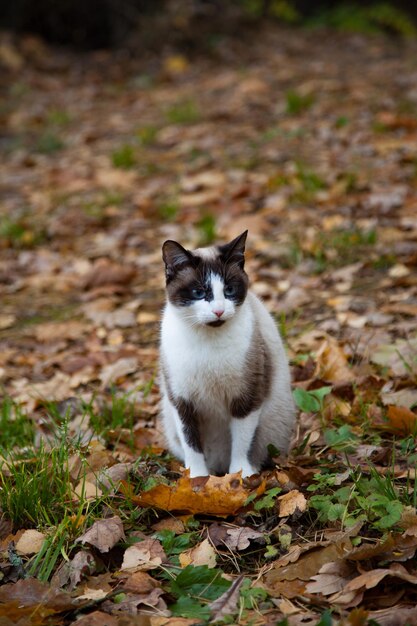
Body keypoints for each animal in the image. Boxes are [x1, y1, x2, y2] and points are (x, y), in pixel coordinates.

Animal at [158, 232, 294, 476]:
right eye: (198, 293)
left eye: (229, 290)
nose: (219, 311)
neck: (208, 342)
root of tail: (218, 466)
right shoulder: (182, 402)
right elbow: (192, 445)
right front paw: (197, 480)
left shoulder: (247, 397)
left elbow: (241, 443)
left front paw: (240, 476)